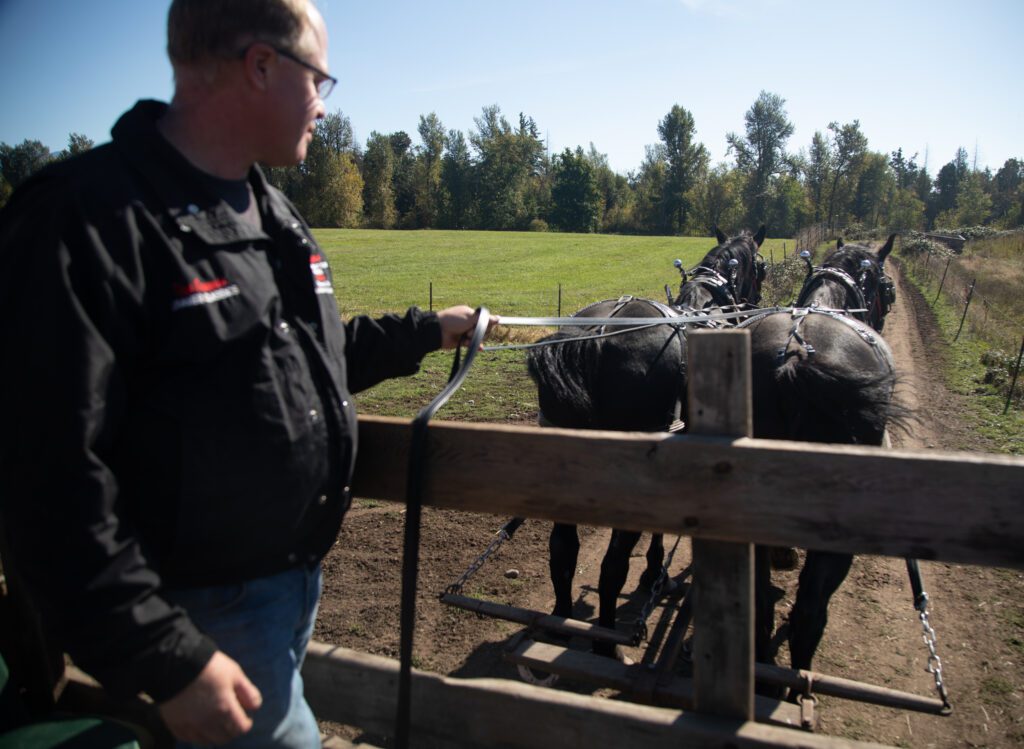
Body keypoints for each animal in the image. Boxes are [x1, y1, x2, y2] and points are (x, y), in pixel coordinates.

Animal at [532, 227, 765, 655]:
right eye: (760, 266)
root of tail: (595, 336)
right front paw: (657, 573)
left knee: (562, 549)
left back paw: (559, 621)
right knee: (612, 565)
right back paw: (606, 642)